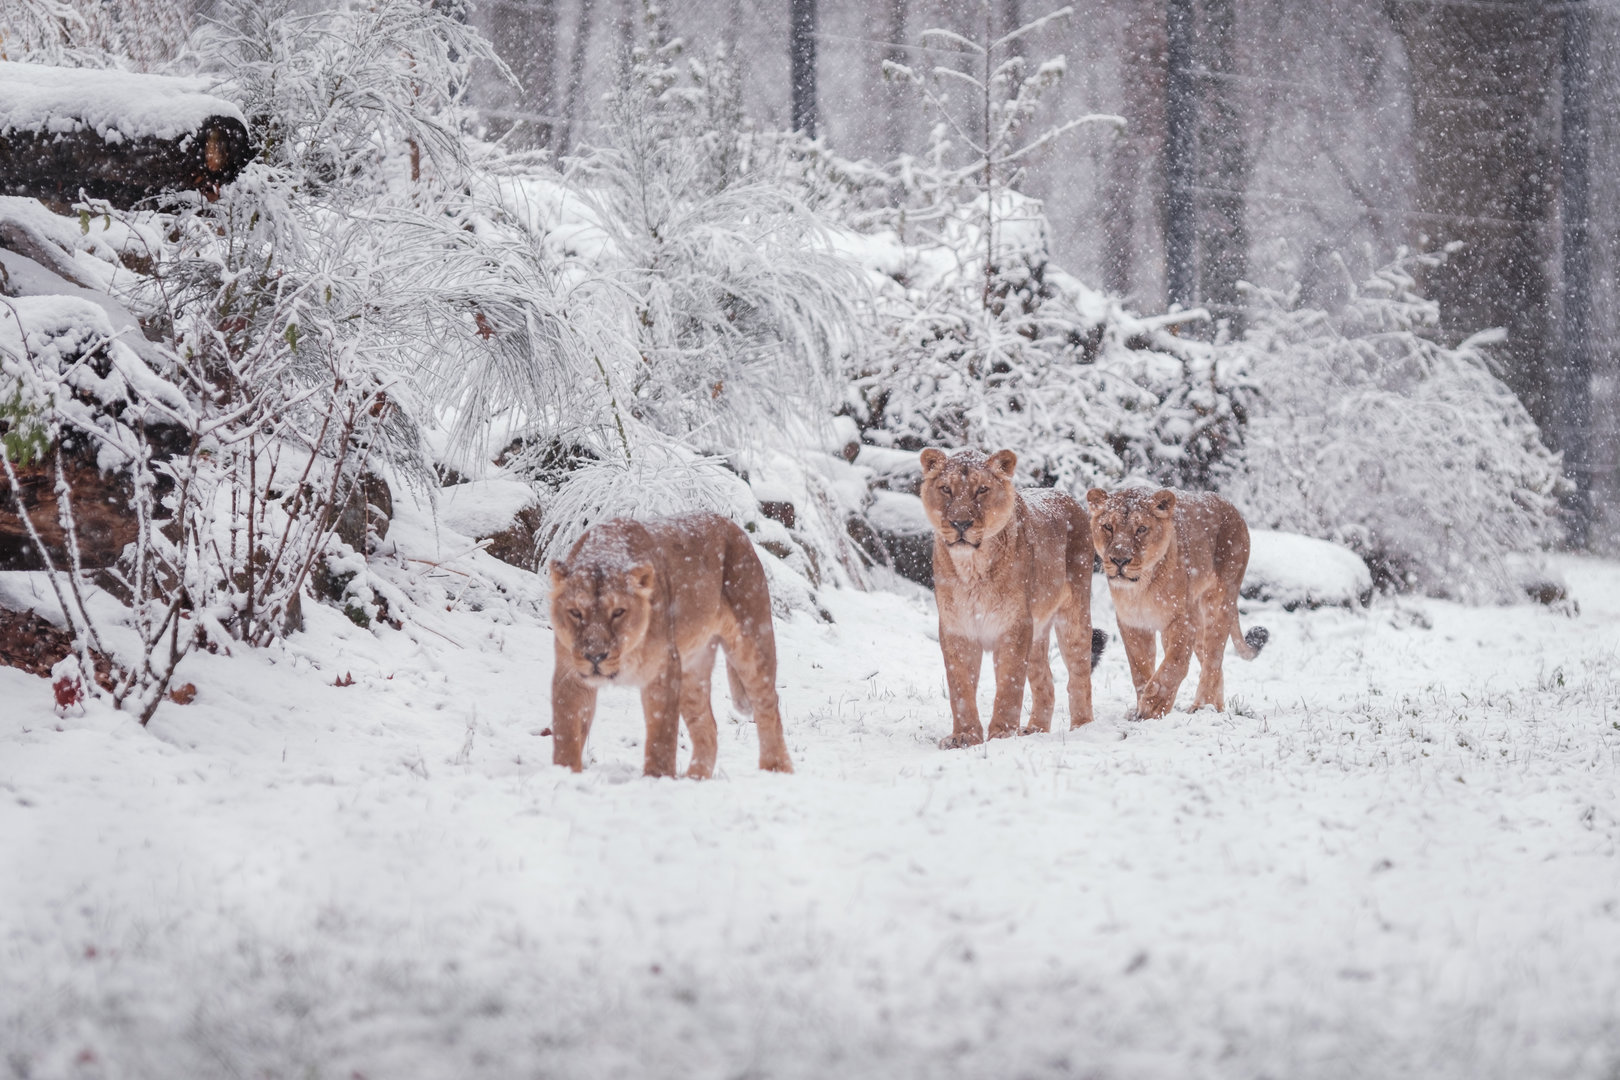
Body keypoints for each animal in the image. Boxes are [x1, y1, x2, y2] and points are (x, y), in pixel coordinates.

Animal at [548, 512, 793, 778]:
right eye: (575, 612)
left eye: (618, 612)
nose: (594, 656)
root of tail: (732, 525)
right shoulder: (570, 673)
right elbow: (567, 732)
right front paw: (564, 773)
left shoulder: (664, 668)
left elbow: (661, 735)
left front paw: (657, 778)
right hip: (692, 669)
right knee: (708, 727)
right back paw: (696, 779)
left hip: (752, 643)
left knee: (768, 707)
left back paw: (776, 768)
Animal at [919, 448, 1107, 749]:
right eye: (946, 489)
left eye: (982, 489)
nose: (960, 523)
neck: (972, 568)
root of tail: (1066, 496)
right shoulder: (957, 627)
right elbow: (960, 687)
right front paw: (965, 736)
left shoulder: (1015, 626)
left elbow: (1009, 685)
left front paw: (1002, 734)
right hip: (1038, 632)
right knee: (1046, 681)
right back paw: (1035, 730)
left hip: (1074, 615)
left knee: (1079, 675)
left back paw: (1082, 727)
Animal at [1084, 487, 1268, 718]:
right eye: (1108, 526)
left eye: (1141, 529)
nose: (1119, 560)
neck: (1142, 587)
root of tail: (1230, 506)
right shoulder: (1132, 623)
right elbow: (1140, 667)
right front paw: (1141, 709)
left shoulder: (1181, 620)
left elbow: (1174, 664)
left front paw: (1154, 705)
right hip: (1198, 622)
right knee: (1212, 663)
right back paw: (1214, 707)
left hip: (1220, 602)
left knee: (1213, 660)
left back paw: (1203, 707)